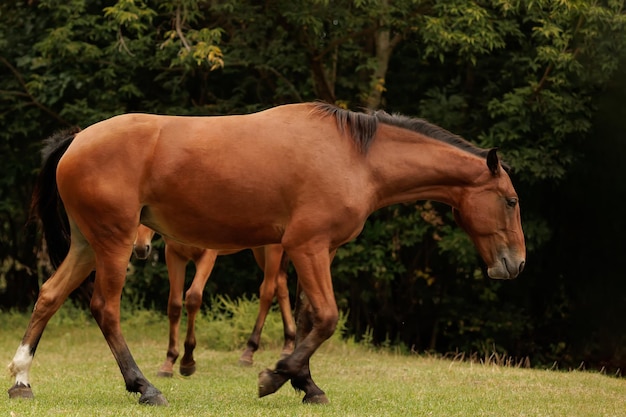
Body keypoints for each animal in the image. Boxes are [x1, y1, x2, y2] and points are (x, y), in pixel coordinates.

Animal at [130, 226, 294, 376]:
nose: (140, 248)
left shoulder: (207, 255)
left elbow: (193, 298)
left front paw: (187, 361)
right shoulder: (174, 254)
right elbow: (174, 305)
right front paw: (169, 363)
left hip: (272, 249)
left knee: (267, 291)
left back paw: (249, 352)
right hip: (259, 249)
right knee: (281, 285)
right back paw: (288, 346)